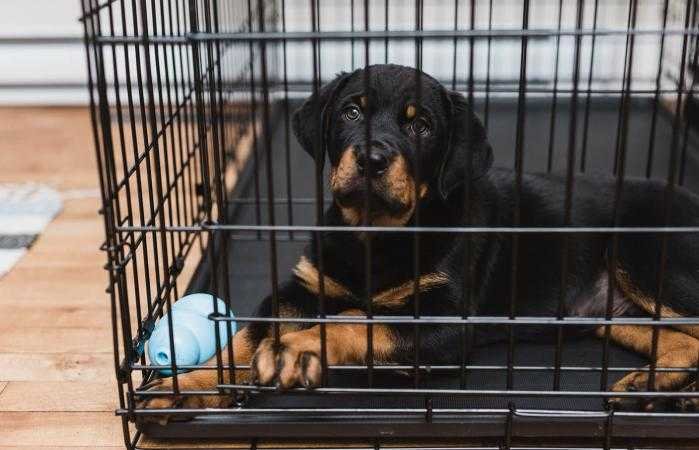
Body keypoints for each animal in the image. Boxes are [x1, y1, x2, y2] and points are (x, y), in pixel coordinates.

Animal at [142, 64, 699, 414]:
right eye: (350, 112)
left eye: (423, 126)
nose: (371, 159)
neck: (375, 232)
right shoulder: (303, 286)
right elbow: (247, 334)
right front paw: (189, 386)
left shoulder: (445, 323)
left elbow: (357, 318)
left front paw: (296, 348)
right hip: (616, 314)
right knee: (683, 343)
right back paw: (652, 387)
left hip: (644, 253)